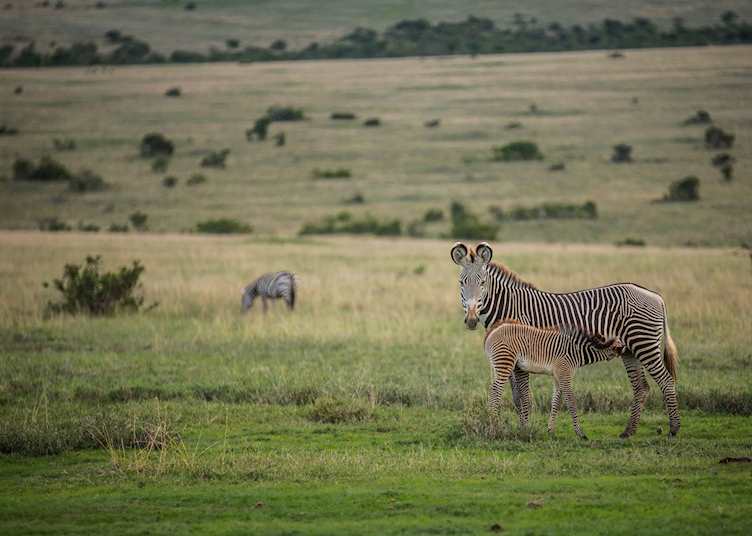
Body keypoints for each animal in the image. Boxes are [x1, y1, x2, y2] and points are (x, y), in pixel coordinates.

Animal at [485, 320, 625, 439]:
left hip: (501, 364)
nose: (626, 351)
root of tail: (492, 331)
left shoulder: (558, 376)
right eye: (620, 348)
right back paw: (494, 427)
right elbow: (571, 401)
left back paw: (492, 424)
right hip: (505, 362)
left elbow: (555, 401)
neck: (576, 351)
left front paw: (550, 430)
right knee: (496, 390)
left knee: (493, 389)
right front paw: (580, 433)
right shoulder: (564, 374)